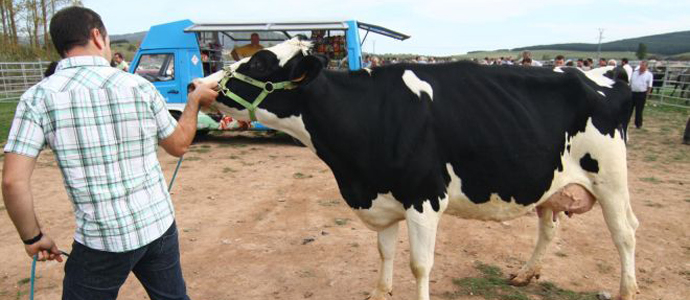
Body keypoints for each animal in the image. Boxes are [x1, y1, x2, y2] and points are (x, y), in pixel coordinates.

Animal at [198, 38, 636, 300]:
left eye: (259, 62)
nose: (194, 86)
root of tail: (601, 73)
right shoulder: (382, 197)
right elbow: (385, 251)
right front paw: (380, 293)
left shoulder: (425, 198)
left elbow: (419, 265)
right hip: (550, 183)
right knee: (549, 227)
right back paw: (525, 275)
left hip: (611, 179)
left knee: (625, 234)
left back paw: (627, 290)